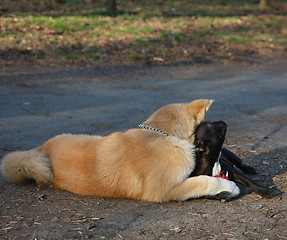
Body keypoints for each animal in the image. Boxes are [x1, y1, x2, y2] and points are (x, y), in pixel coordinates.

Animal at [0, 99, 241, 202]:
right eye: (210, 123)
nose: (224, 122)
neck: (160, 133)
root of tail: (40, 149)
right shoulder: (163, 190)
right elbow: (204, 181)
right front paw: (229, 185)